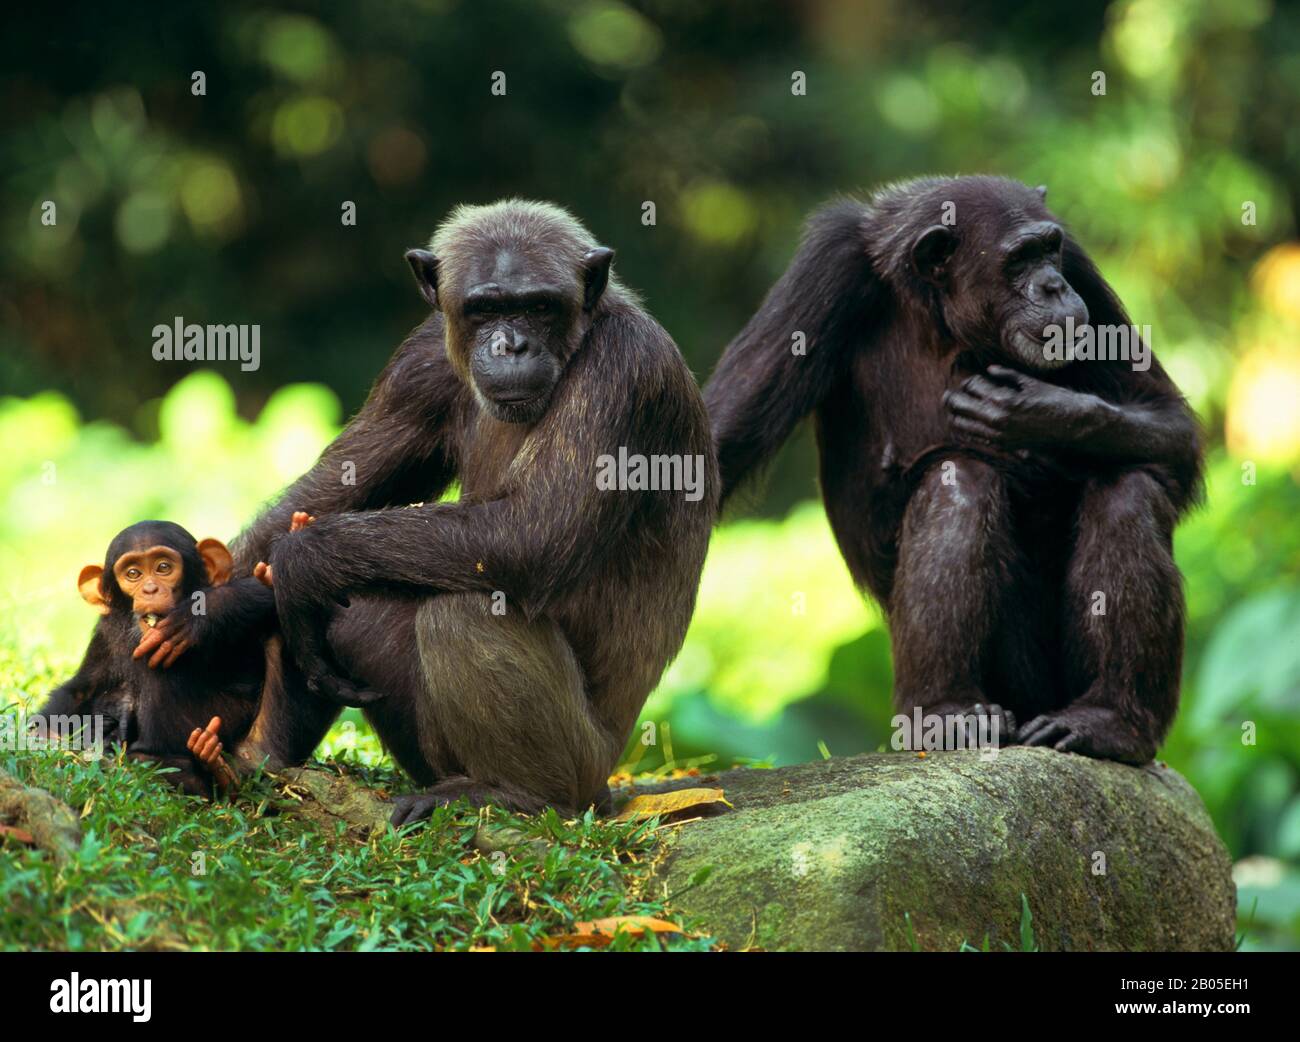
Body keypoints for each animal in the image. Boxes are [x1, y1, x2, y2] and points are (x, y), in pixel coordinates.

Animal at [707, 176, 1201, 763]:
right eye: (1019, 259)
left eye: (1050, 248)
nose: (1054, 285)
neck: (935, 310)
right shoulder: (824, 271)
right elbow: (723, 437)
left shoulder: (1083, 267)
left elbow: (1170, 422)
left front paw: (1041, 413)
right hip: (1013, 674)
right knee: (959, 480)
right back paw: (945, 711)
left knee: (1128, 488)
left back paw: (1110, 721)